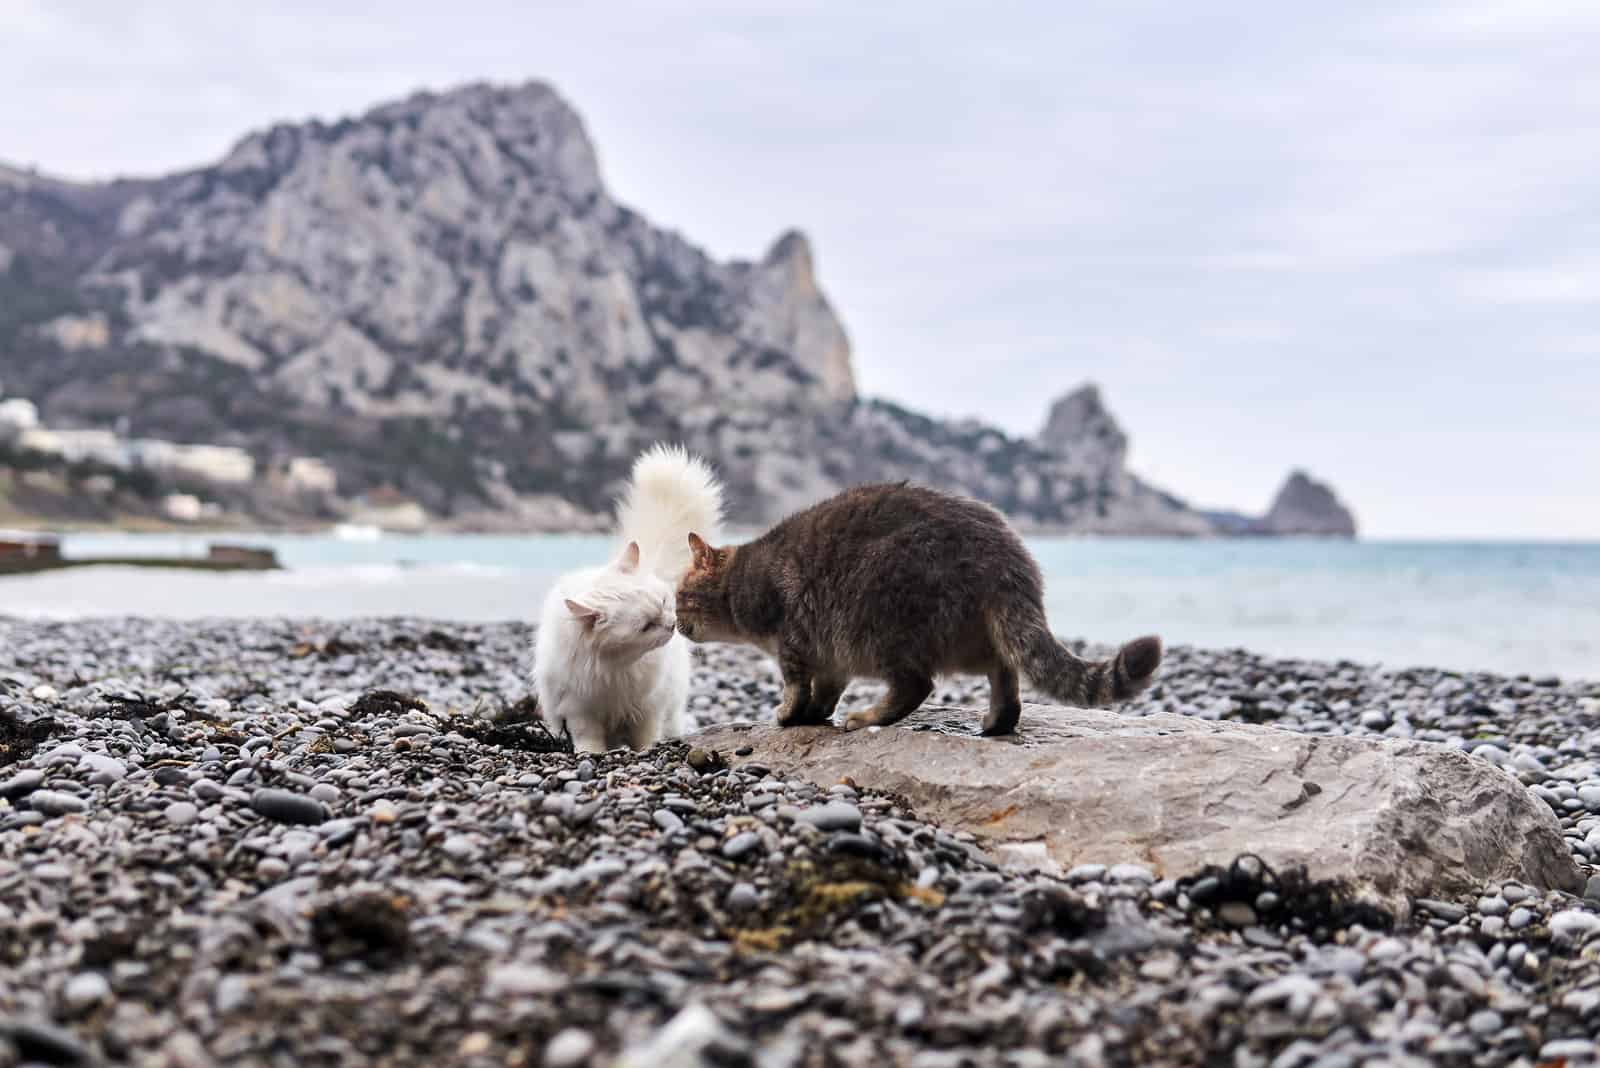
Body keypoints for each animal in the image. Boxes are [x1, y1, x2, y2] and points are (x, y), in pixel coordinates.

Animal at [531, 447, 726, 754]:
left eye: (664, 602)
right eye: (646, 626)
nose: (671, 625)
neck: (615, 669)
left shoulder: (647, 707)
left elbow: (644, 736)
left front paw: (645, 751)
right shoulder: (579, 709)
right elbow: (588, 737)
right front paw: (591, 754)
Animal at [675, 482, 1164, 735]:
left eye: (679, 597)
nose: (676, 623)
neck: (741, 578)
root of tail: (1007, 555)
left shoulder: (793, 642)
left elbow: (797, 687)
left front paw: (791, 714)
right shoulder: (830, 657)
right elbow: (826, 689)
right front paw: (815, 714)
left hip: (883, 625)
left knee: (916, 685)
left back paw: (869, 717)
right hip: (976, 635)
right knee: (1006, 674)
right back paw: (997, 721)